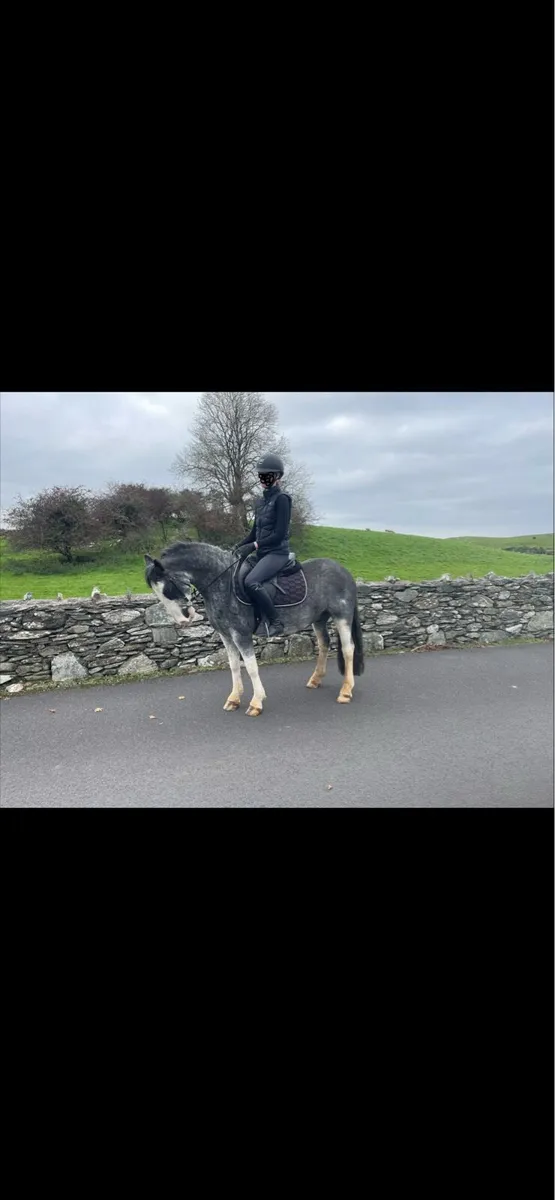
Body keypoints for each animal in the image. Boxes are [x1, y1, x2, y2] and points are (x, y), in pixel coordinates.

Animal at [144, 541, 364, 717]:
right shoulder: (226, 636)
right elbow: (234, 665)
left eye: (167, 589)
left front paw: (256, 702)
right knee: (324, 644)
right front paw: (234, 699)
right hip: (318, 619)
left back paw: (346, 691)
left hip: (342, 617)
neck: (224, 583)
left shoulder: (241, 635)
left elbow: (250, 666)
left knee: (348, 649)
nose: (183, 619)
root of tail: (344, 571)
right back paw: (315, 679)